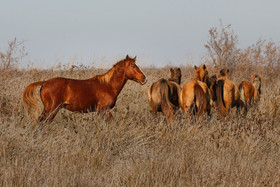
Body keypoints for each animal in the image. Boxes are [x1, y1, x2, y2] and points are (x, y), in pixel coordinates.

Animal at [23, 54, 262, 123]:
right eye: (133, 66)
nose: (144, 78)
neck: (106, 85)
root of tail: (44, 83)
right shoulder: (103, 110)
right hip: (51, 110)